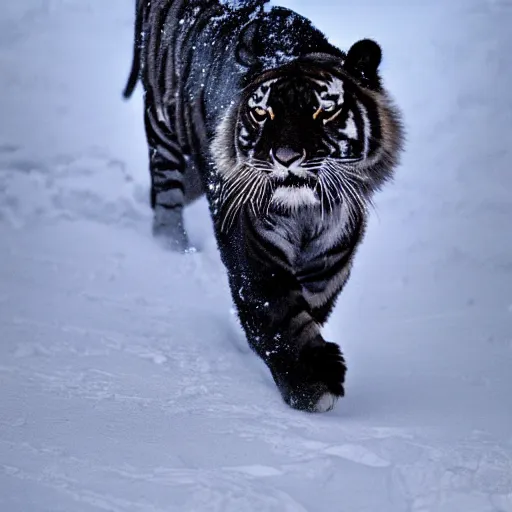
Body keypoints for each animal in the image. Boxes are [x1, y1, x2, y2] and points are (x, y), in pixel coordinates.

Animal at [123, 0, 404, 412]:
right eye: (262, 113)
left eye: (323, 112)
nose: (285, 157)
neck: (307, 214)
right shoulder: (254, 252)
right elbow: (279, 318)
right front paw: (314, 384)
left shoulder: (330, 261)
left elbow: (310, 310)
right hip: (165, 134)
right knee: (165, 203)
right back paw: (171, 252)